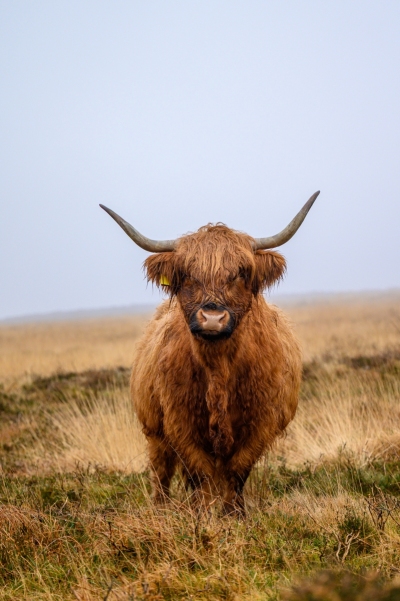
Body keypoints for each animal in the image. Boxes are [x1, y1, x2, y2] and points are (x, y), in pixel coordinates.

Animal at [100, 191, 318, 510]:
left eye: (240, 274)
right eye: (188, 275)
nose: (213, 318)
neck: (219, 370)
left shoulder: (260, 424)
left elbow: (237, 471)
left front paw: (233, 514)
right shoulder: (180, 425)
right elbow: (199, 474)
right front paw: (201, 515)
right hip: (154, 431)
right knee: (161, 472)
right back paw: (161, 508)